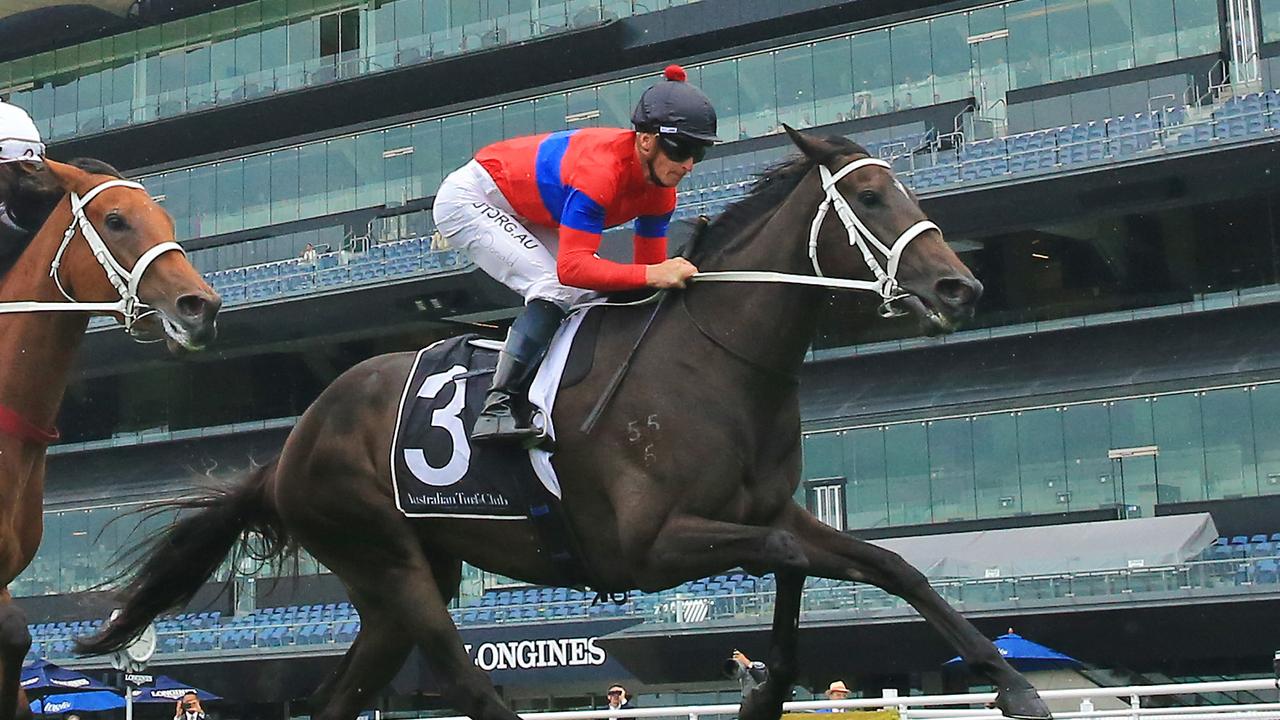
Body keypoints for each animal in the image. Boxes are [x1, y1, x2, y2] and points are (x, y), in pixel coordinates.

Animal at [85, 128, 1054, 717]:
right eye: (877, 201)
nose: (960, 287)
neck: (713, 360)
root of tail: (290, 446)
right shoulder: (649, 544)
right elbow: (788, 559)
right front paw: (764, 685)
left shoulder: (767, 509)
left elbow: (882, 566)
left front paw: (1014, 686)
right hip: (391, 564)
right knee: (463, 679)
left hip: (397, 580)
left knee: (340, 698)